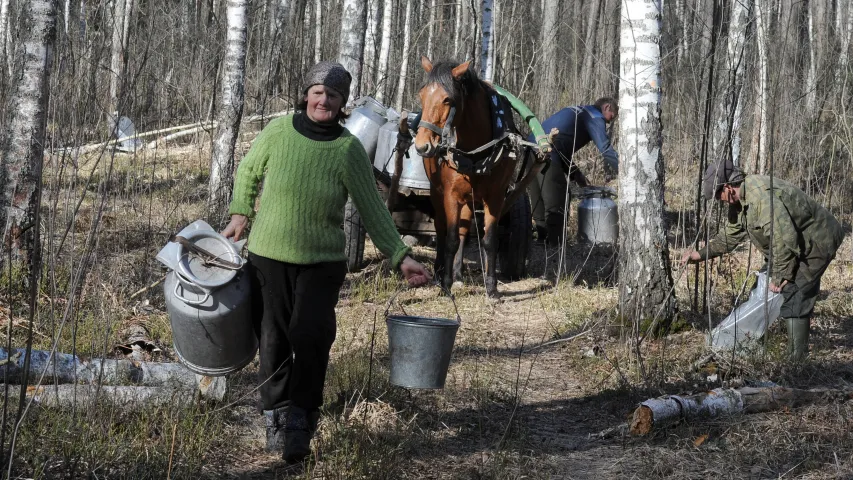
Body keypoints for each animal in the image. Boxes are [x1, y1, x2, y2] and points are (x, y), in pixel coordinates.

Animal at [414, 56, 520, 296]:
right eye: (421, 95)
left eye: (447, 99)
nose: (422, 145)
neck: (476, 153)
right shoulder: (451, 196)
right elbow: (450, 239)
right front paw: (445, 285)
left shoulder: (495, 197)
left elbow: (489, 240)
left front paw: (491, 288)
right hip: (436, 193)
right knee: (442, 229)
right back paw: (439, 272)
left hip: (471, 199)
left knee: (464, 231)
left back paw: (459, 274)